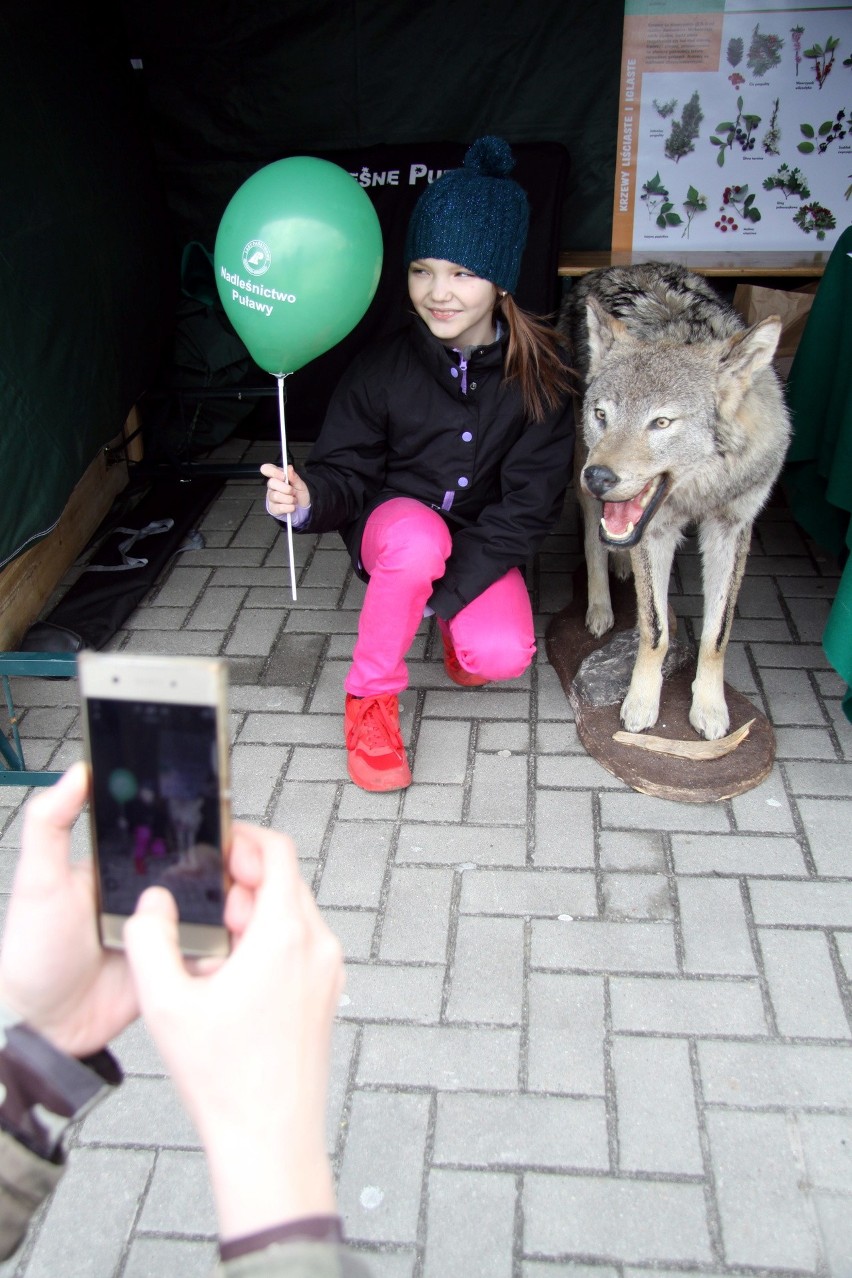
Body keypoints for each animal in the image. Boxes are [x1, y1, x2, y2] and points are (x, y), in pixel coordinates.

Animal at [559, 261, 791, 741]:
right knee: (593, 538)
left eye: (661, 423)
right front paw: (641, 703)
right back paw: (600, 605)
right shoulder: (656, 532)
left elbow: (717, 633)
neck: (702, 489)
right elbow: (655, 629)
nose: (599, 477)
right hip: (579, 461)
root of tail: (616, 267)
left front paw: (710, 707)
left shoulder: (732, 529)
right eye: (602, 414)